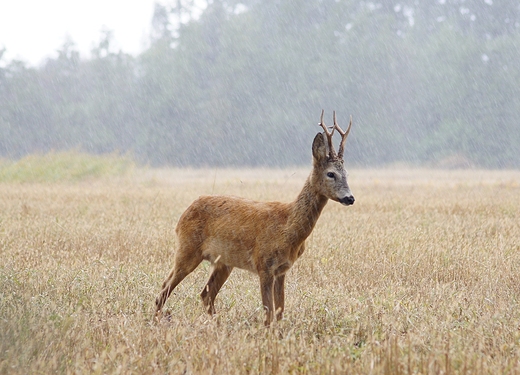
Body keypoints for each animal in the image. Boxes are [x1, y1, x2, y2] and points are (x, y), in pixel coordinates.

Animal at [154, 111, 356, 326]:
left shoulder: (282, 270)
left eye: (346, 173)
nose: (350, 198)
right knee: (164, 290)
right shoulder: (264, 264)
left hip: (223, 262)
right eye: (331, 174)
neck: (288, 228)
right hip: (187, 249)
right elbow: (268, 313)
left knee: (205, 295)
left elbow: (279, 311)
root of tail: (183, 215)